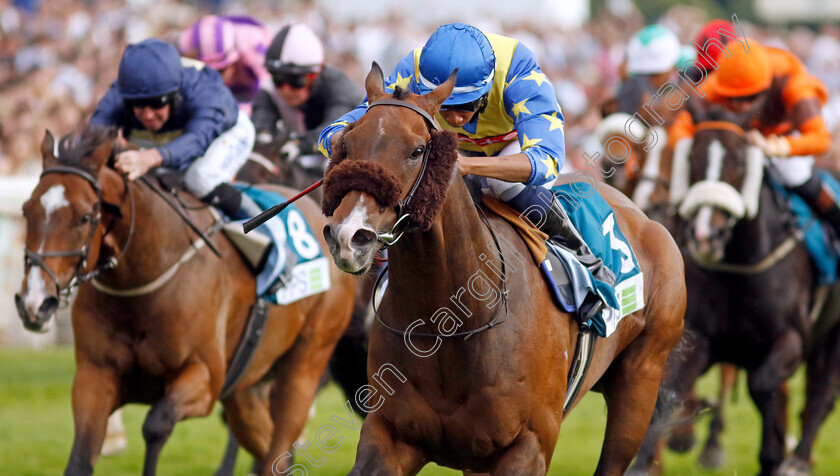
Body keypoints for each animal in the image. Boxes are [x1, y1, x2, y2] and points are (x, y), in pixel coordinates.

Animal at [14, 125, 354, 476]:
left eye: (84, 217)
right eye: (27, 210)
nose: (34, 302)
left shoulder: (205, 378)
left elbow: (156, 424)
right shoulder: (94, 377)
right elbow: (80, 458)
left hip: (305, 364)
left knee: (284, 432)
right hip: (244, 387)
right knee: (269, 454)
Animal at [318, 64, 684, 476]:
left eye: (416, 151)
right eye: (347, 146)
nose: (349, 236)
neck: (448, 323)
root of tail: (642, 215)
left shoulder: (528, 446)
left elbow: (539, 156)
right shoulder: (391, 436)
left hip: (641, 379)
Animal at [632, 105, 840, 476]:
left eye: (741, 161)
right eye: (693, 158)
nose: (705, 235)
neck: (738, 268)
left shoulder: (790, 339)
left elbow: (765, 385)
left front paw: (774, 455)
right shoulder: (697, 337)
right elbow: (668, 389)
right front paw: (647, 461)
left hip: (832, 335)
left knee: (822, 394)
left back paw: (798, 460)